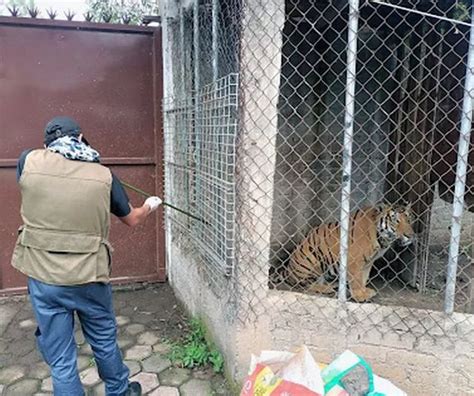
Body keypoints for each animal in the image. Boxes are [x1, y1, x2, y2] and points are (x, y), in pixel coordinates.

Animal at [284, 204, 412, 304]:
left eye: (409, 220)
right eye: (395, 221)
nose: (409, 235)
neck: (382, 239)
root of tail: (288, 270)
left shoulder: (368, 261)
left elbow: (363, 278)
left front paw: (364, 291)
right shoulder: (355, 259)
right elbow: (356, 279)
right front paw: (360, 296)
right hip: (312, 259)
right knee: (305, 284)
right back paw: (327, 288)